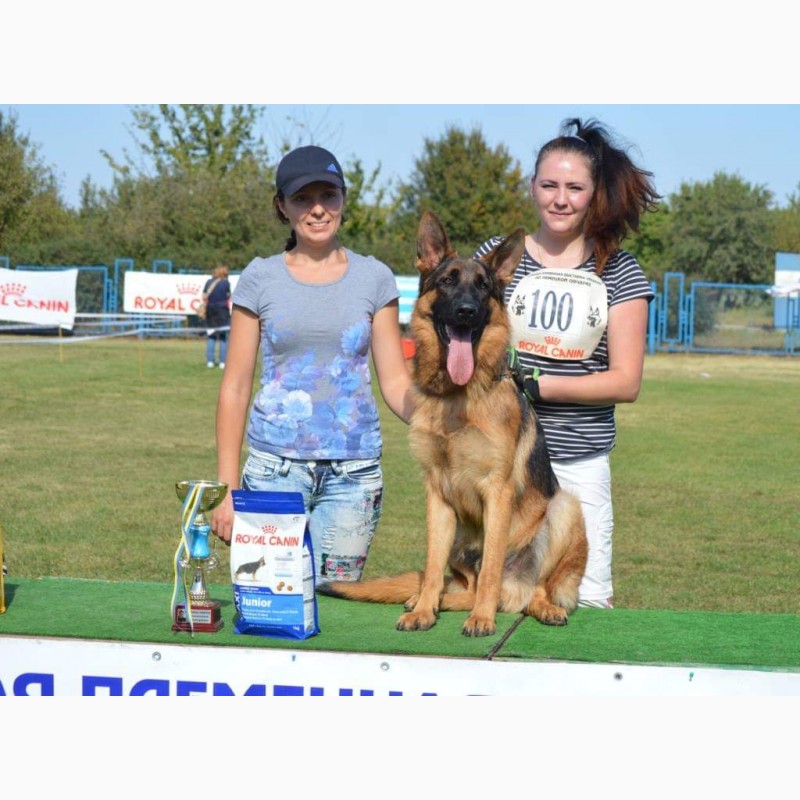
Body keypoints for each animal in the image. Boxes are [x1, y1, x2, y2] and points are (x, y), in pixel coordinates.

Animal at [318, 212, 588, 636]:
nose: (466, 311)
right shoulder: (437, 495)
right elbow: (431, 566)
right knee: (467, 585)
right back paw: (431, 600)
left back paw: (536, 606)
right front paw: (425, 610)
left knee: (534, 587)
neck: (458, 396)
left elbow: (491, 564)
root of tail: (516, 590)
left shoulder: (498, 492)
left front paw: (481, 618)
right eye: (447, 281)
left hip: (564, 509)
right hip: (463, 543)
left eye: (483, 287)